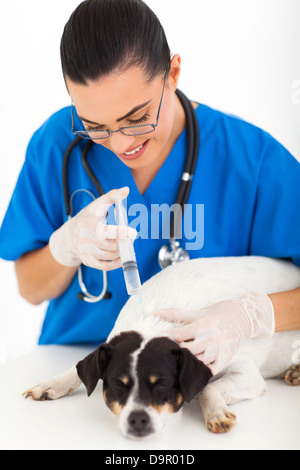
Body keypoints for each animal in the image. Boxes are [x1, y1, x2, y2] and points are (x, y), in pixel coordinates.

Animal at [23, 255, 300, 438]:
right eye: (118, 385)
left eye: (163, 385)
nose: (138, 421)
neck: (155, 322)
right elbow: (80, 365)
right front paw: (53, 383)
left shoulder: (245, 371)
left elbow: (209, 388)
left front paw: (216, 413)